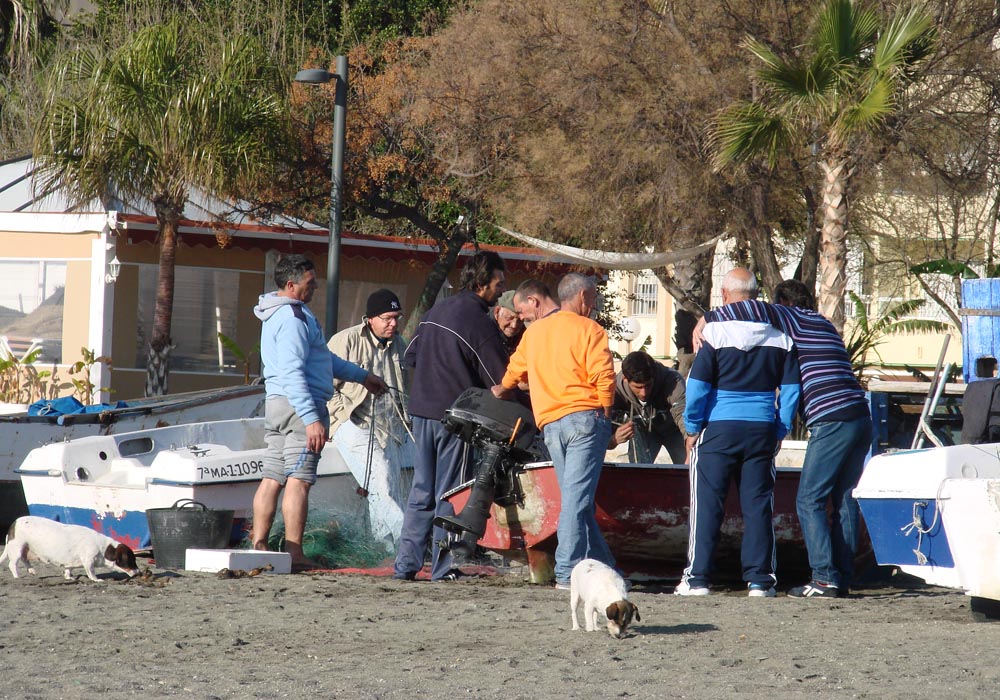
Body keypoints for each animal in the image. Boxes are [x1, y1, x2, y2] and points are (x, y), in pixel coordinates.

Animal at [0, 516, 142, 584]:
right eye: (131, 561)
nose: (140, 573)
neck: (103, 548)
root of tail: (14, 523)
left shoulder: (71, 562)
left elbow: (68, 569)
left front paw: (69, 577)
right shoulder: (88, 560)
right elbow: (91, 572)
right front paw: (96, 579)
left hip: (24, 549)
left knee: (25, 559)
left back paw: (31, 570)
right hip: (17, 548)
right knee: (12, 564)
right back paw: (17, 576)